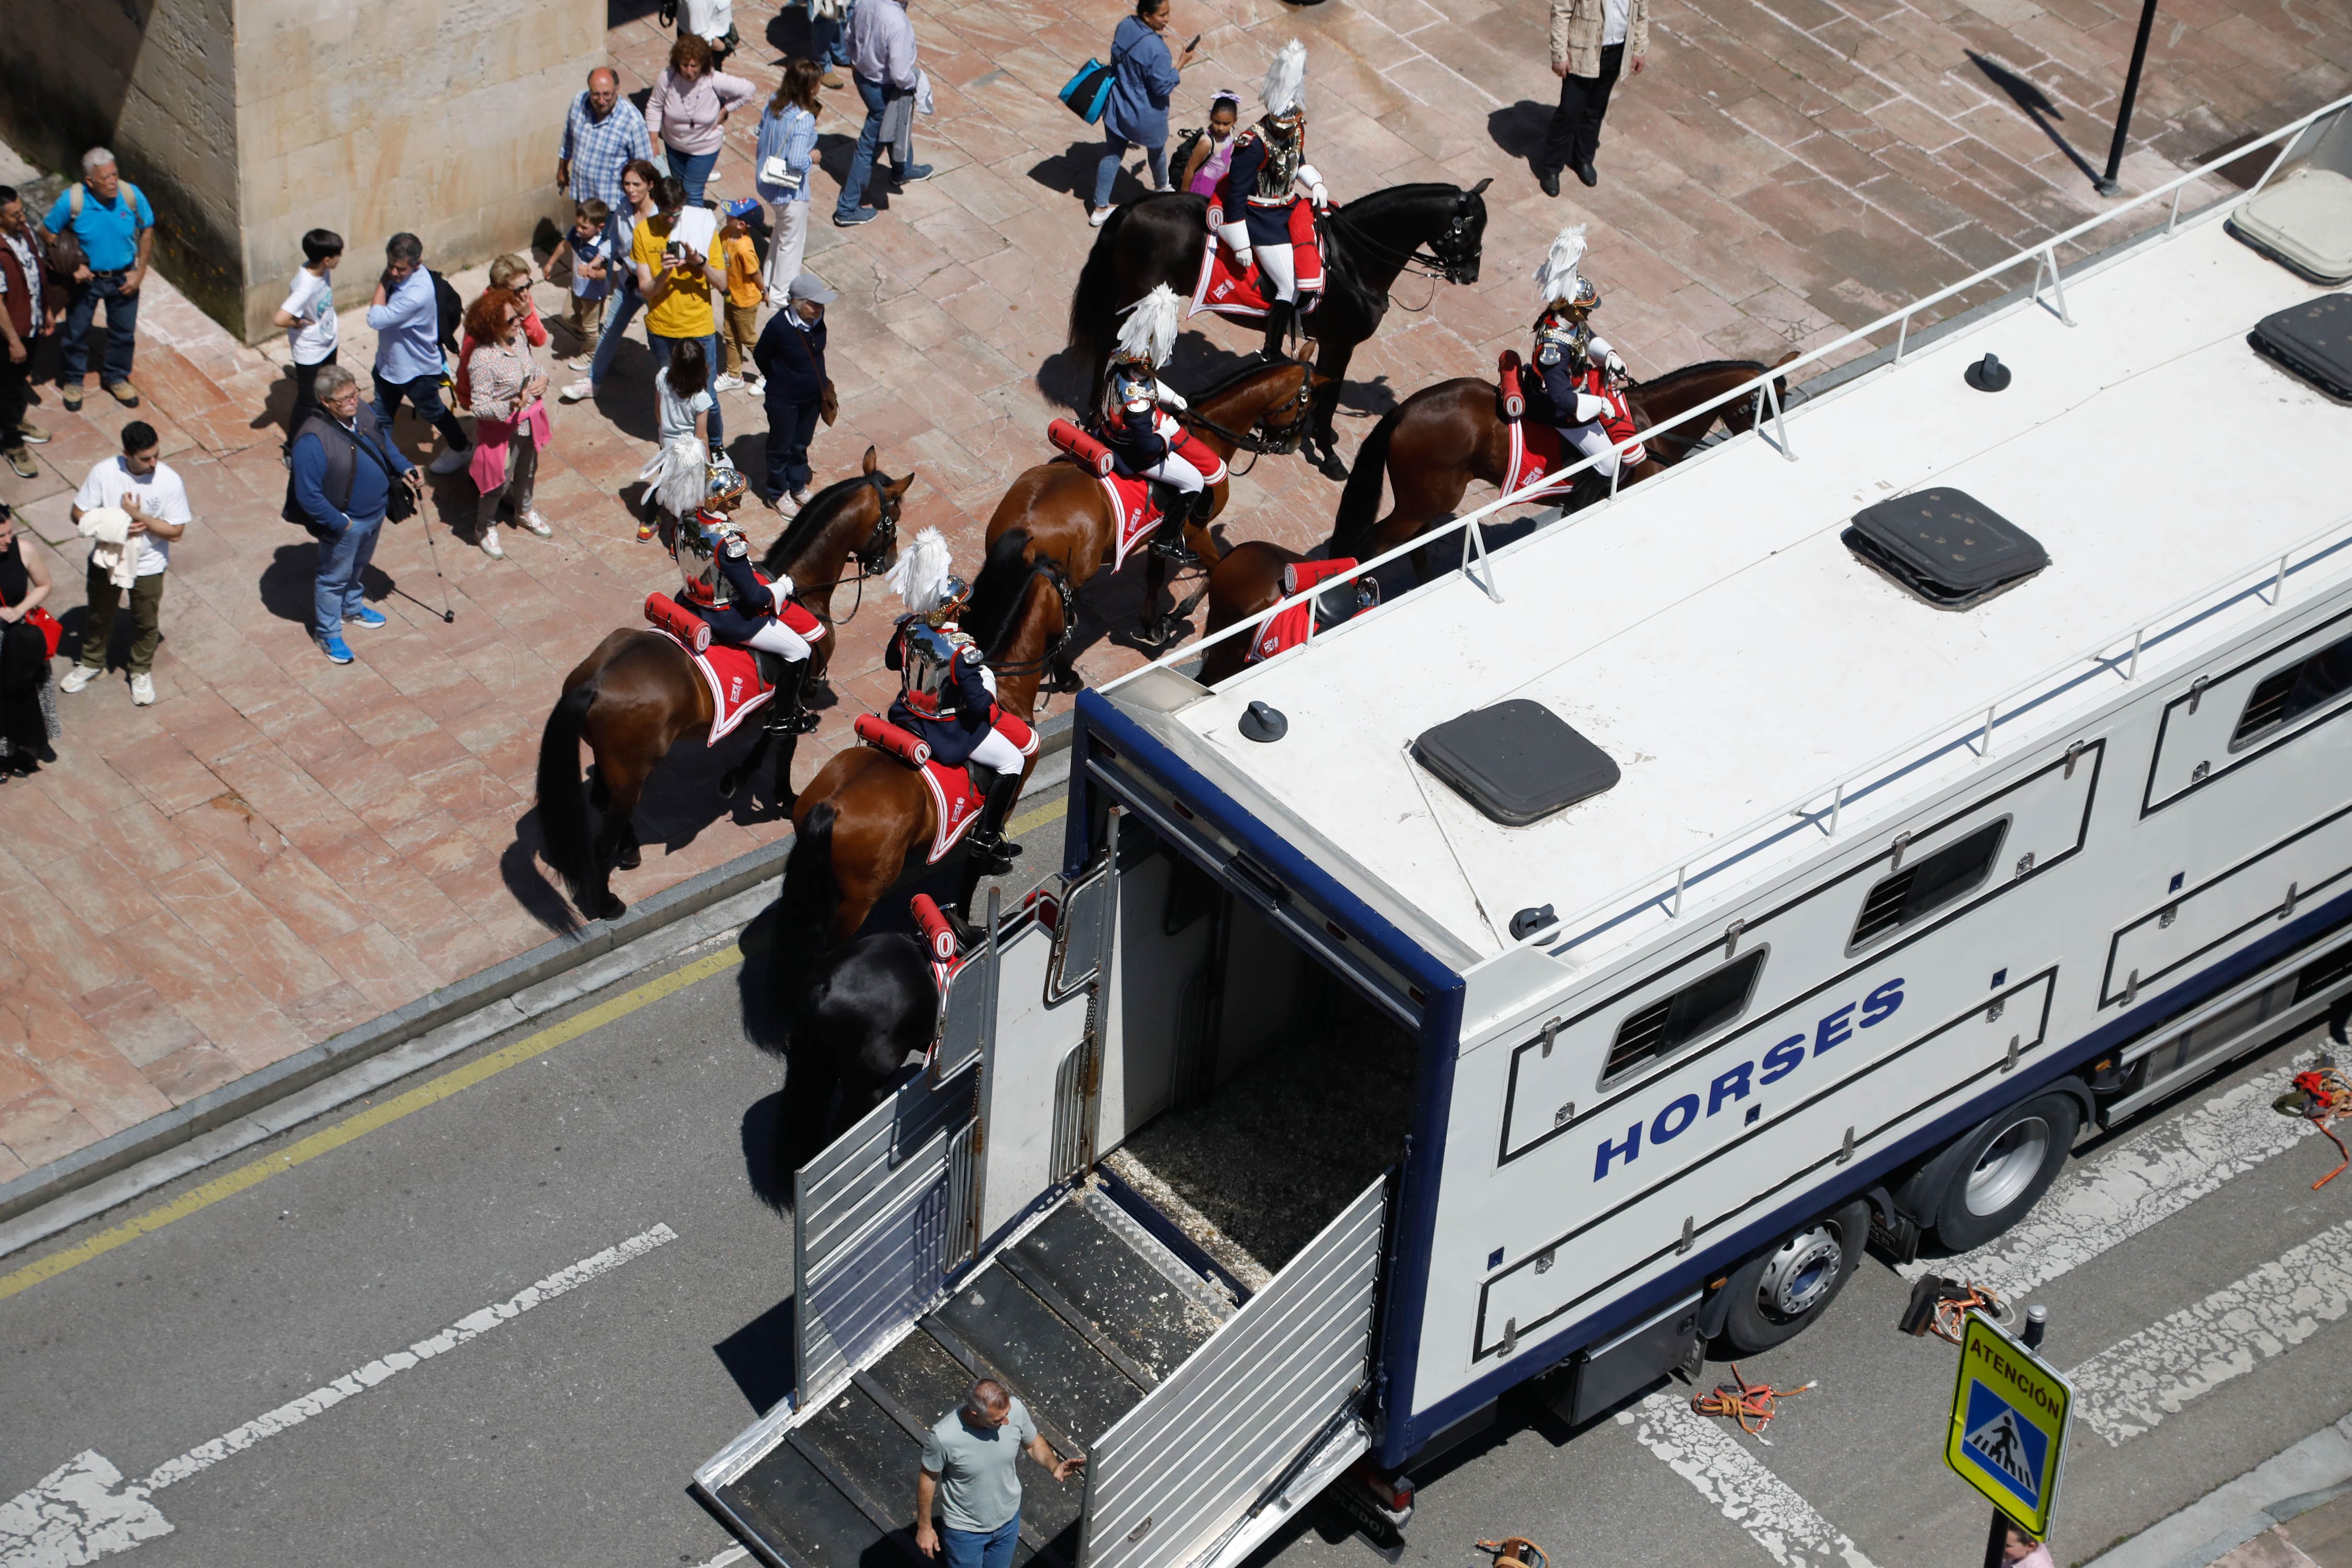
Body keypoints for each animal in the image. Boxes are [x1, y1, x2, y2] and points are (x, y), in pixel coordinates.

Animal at [536, 446, 908, 921]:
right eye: (893, 517)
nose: (890, 562)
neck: (806, 587)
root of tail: (595, 683)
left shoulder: (776, 698)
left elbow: (769, 735)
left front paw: (737, 777)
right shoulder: (798, 679)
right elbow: (784, 741)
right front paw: (782, 796)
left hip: (612, 762)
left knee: (603, 801)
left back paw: (630, 849)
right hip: (632, 770)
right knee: (605, 830)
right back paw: (606, 901)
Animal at [781, 526, 1068, 945]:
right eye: (1067, 590)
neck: (1009, 689)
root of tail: (829, 807)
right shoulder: (1010, 789)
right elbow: (978, 855)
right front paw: (967, 924)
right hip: (856, 904)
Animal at [983, 350, 1327, 658]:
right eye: (1307, 404)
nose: (1293, 445)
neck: (1209, 434)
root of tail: (1026, 523)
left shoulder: (1157, 536)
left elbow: (1155, 577)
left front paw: (1151, 625)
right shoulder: (1196, 530)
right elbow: (1216, 568)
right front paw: (1172, 619)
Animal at [1068, 182, 1486, 479]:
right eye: (1467, 230)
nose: (1470, 275)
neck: (1352, 260)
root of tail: (1131, 207)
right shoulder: (1340, 344)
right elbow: (1330, 396)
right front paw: (1329, 455)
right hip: (1137, 297)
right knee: (1112, 347)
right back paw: (1096, 414)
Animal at [1204, 360, 1788, 682]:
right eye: (1757, 402)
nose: (1762, 432)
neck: (1650, 422)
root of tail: (1405, 409)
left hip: (1432, 501)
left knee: (1415, 545)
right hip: (1425, 498)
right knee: (1376, 544)